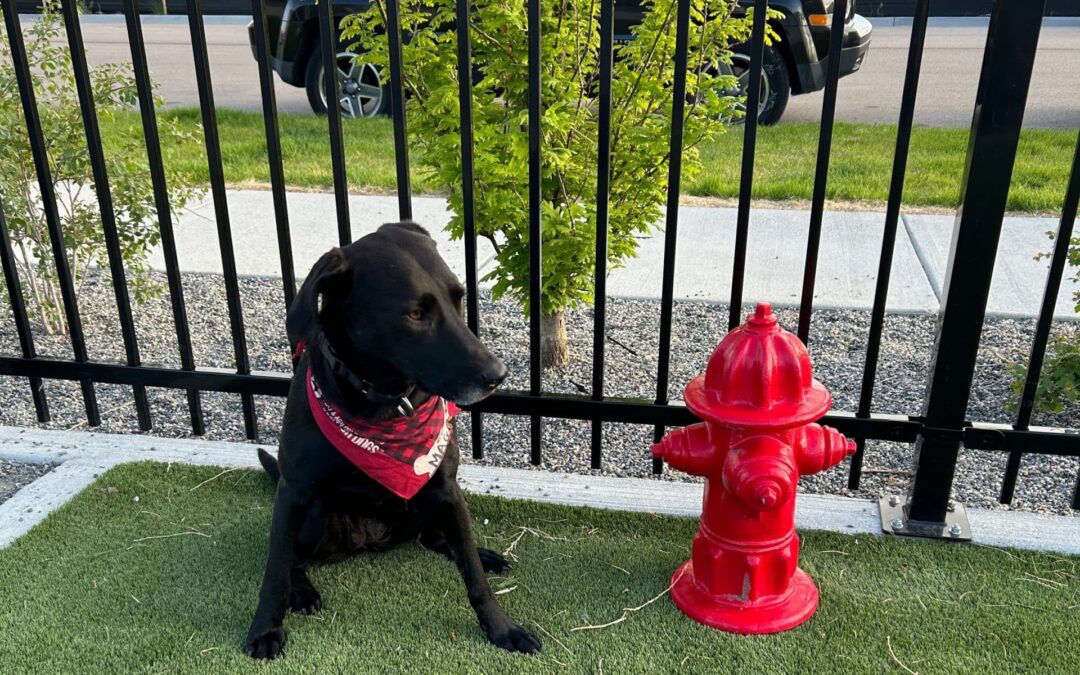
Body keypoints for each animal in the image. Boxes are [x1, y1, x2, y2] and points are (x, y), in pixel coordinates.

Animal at [244, 221, 541, 659]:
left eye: (459, 298)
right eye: (415, 314)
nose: (497, 374)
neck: (384, 404)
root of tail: (372, 539)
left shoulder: (445, 484)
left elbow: (473, 575)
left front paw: (502, 627)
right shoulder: (293, 491)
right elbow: (275, 569)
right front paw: (265, 628)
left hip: (427, 498)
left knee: (438, 538)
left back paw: (480, 553)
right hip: (315, 514)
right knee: (295, 559)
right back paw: (303, 591)